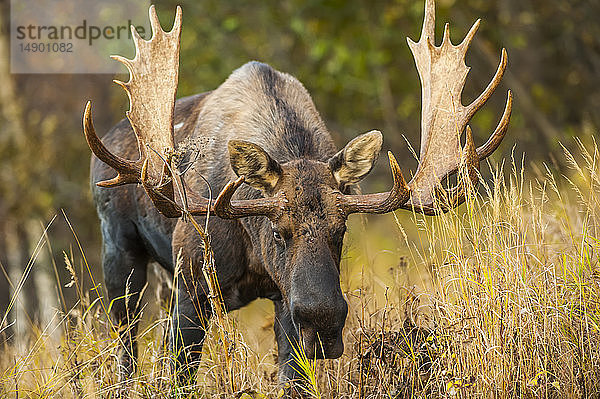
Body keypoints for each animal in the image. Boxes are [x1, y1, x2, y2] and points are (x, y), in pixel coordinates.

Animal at [82, 0, 510, 390]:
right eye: (277, 231)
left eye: (341, 231)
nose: (322, 325)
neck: (252, 251)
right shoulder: (192, 291)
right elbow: (177, 378)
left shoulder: (286, 305)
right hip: (120, 250)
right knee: (125, 341)